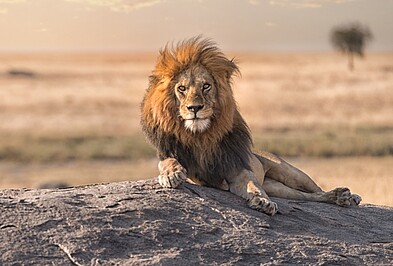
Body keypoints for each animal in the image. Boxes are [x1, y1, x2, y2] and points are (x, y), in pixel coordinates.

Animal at [139, 37, 360, 215]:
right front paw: (172, 174)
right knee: (304, 197)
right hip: (278, 188)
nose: (194, 108)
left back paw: (346, 196)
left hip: (290, 173)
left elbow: (253, 185)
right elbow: (166, 162)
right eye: (182, 88)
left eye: (206, 86)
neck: (201, 135)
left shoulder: (238, 169)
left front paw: (262, 201)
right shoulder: (184, 166)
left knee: (315, 191)